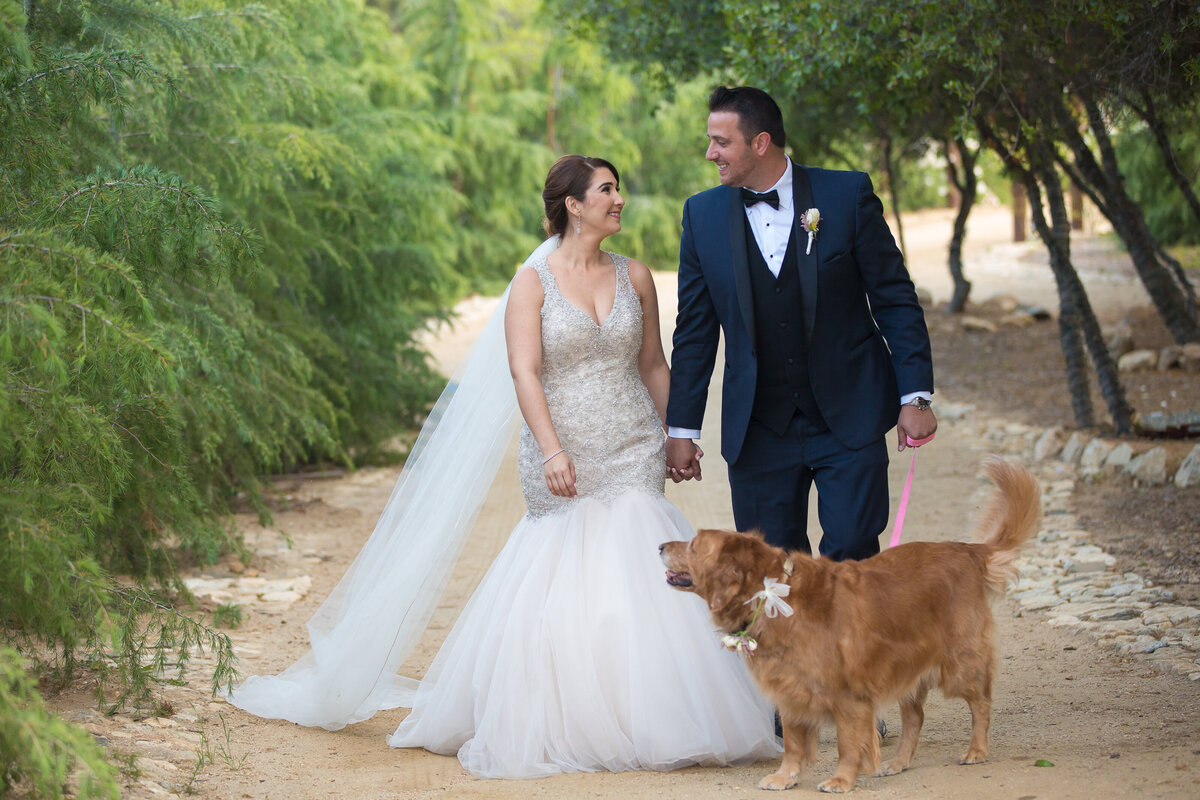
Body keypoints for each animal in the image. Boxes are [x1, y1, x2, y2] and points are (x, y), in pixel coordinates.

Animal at [657, 460, 1041, 791]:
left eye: (694, 544)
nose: (660, 544)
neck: (774, 595)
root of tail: (967, 551)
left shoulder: (849, 696)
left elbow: (848, 743)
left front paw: (841, 780)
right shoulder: (790, 688)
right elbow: (794, 743)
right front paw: (785, 776)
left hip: (960, 662)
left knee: (981, 703)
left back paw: (976, 750)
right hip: (909, 668)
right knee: (915, 717)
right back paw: (898, 762)